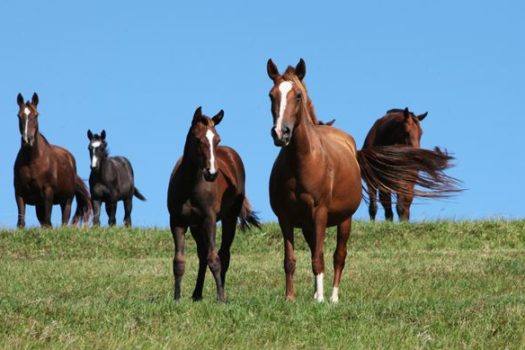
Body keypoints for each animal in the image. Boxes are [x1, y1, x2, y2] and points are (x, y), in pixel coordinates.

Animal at [13, 93, 92, 228]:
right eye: (19, 115)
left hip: (66, 201)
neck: (32, 162)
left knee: (64, 220)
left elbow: (48, 219)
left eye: (36, 115)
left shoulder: (48, 192)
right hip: (39, 204)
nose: (27, 139)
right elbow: (21, 222)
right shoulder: (19, 193)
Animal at [266, 58, 458, 302]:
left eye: (298, 95)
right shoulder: (285, 218)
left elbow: (320, 258)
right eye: (271, 95)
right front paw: (290, 298)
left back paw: (332, 297)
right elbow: (290, 260)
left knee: (339, 256)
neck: (302, 162)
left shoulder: (319, 214)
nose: (281, 133)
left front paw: (320, 300)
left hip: (343, 220)